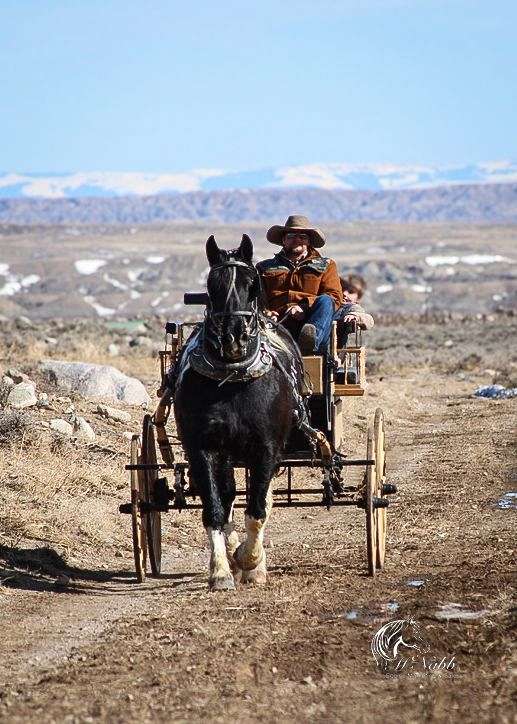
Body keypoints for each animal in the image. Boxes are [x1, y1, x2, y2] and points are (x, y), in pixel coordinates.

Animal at [173, 235, 302, 592]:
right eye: (211, 284)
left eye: (252, 283)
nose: (233, 336)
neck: (231, 379)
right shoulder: (203, 449)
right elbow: (216, 509)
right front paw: (221, 570)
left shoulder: (266, 449)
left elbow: (257, 509)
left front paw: (250, 561)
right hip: (228, 453)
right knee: (230, 495)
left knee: (262, 499)